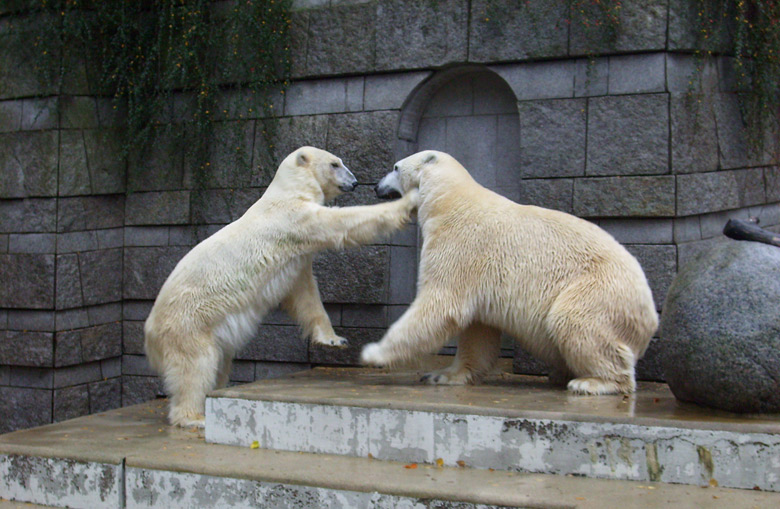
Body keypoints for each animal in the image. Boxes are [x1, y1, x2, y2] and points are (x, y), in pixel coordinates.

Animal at [143, 146, 418, 424]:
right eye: (335, 164)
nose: (355, 182)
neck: (289, 189)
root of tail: (150, 336)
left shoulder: (296, 260)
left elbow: (305, 296)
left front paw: (334, 339)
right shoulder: (294, 219)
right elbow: (343, 222)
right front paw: (409, 200)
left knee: (219, 362)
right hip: (189, 323)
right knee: (195, 367)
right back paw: (195, 417)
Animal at [360, 149, 660, 394]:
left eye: (395, 167)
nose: (376, 186)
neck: (448, 199)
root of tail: (650, 315)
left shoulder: (460, 246)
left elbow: (441, 304)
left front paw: (374, 353)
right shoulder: (480, 276)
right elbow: (478, 329)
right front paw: (442, 375)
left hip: (598, 291)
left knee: (575, 321)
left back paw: (591, 382)